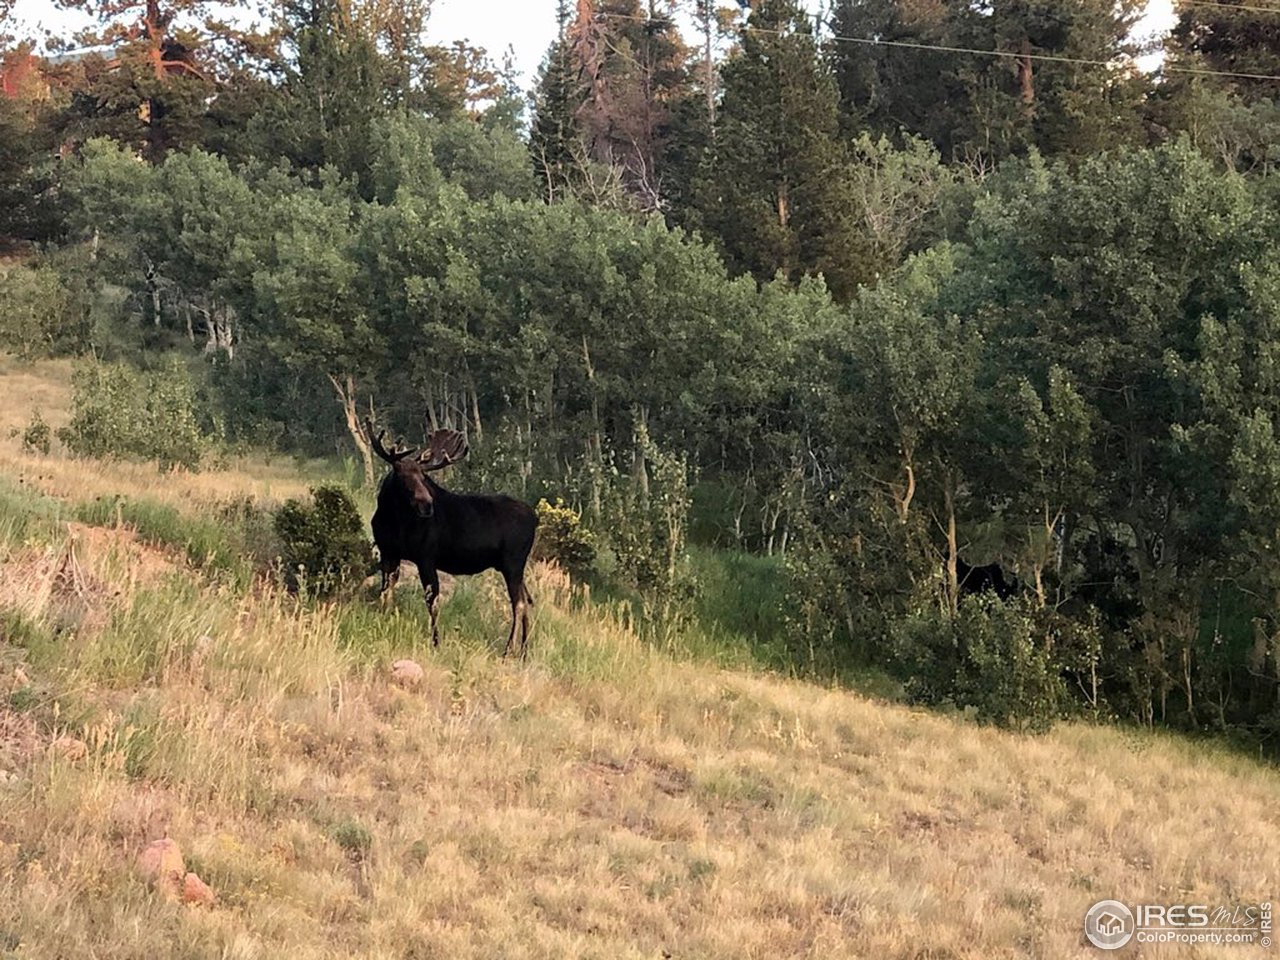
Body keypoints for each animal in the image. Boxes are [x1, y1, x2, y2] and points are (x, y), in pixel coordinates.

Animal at [365, 417, 539, 657]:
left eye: (423, 477)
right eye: (402, 474)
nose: (427, 504)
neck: (392, 519)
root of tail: (535, 518)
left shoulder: (426, 556)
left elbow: (432, 601)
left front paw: (436, 642)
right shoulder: (388, 552)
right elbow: (386, 592)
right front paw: (385, 621)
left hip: (513, 561)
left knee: (519, 603)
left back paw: (507, 650)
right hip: (512, 565)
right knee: (526, 602)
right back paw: (524, 650)